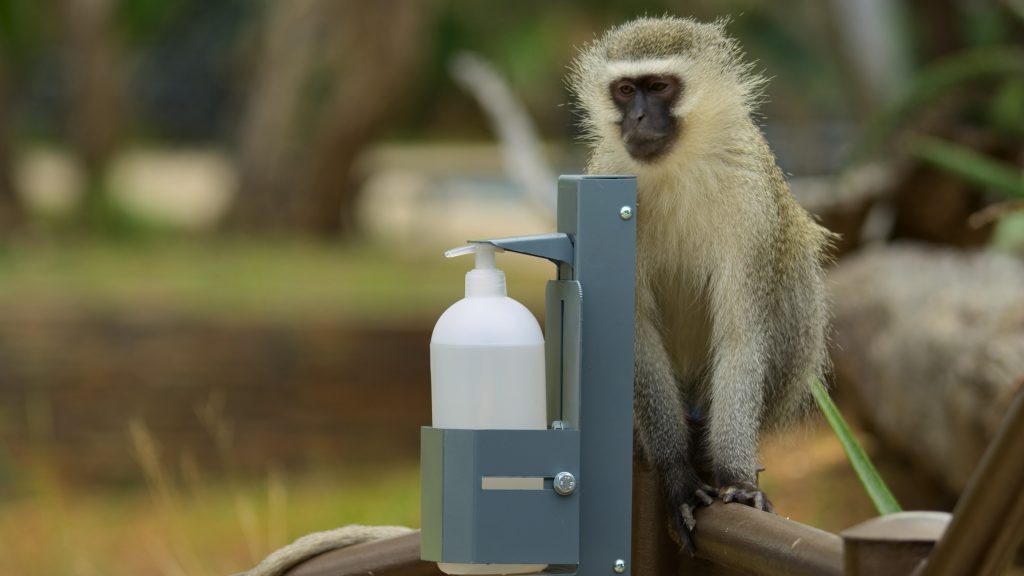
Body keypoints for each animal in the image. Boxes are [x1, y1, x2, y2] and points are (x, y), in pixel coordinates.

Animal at [569, 15, 831, 549]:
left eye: (659, 87)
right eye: (624, 90)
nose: (637, 119)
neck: (676, 166)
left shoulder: (751, 195)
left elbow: (741, 335)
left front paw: (738, 480)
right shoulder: (608, 183)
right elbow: (635, 335)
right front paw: (676, 475)